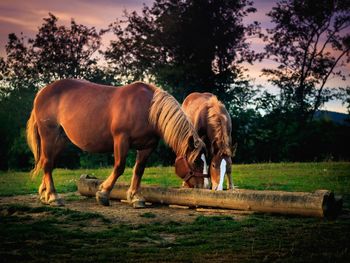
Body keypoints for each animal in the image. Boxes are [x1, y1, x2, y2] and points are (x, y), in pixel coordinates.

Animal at [28, 79, 208, 207]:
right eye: (196, 161)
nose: (201, 187)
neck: (147, 108)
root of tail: (42, 91)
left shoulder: (147, 146)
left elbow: (139, 170)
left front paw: (135, 197)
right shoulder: (121, 140)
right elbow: (119, 167)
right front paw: (103, 193)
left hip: (60, 139)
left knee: (47, 162)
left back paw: (44, 194)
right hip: (49, 135)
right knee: (48, 164)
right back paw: (53, 197)